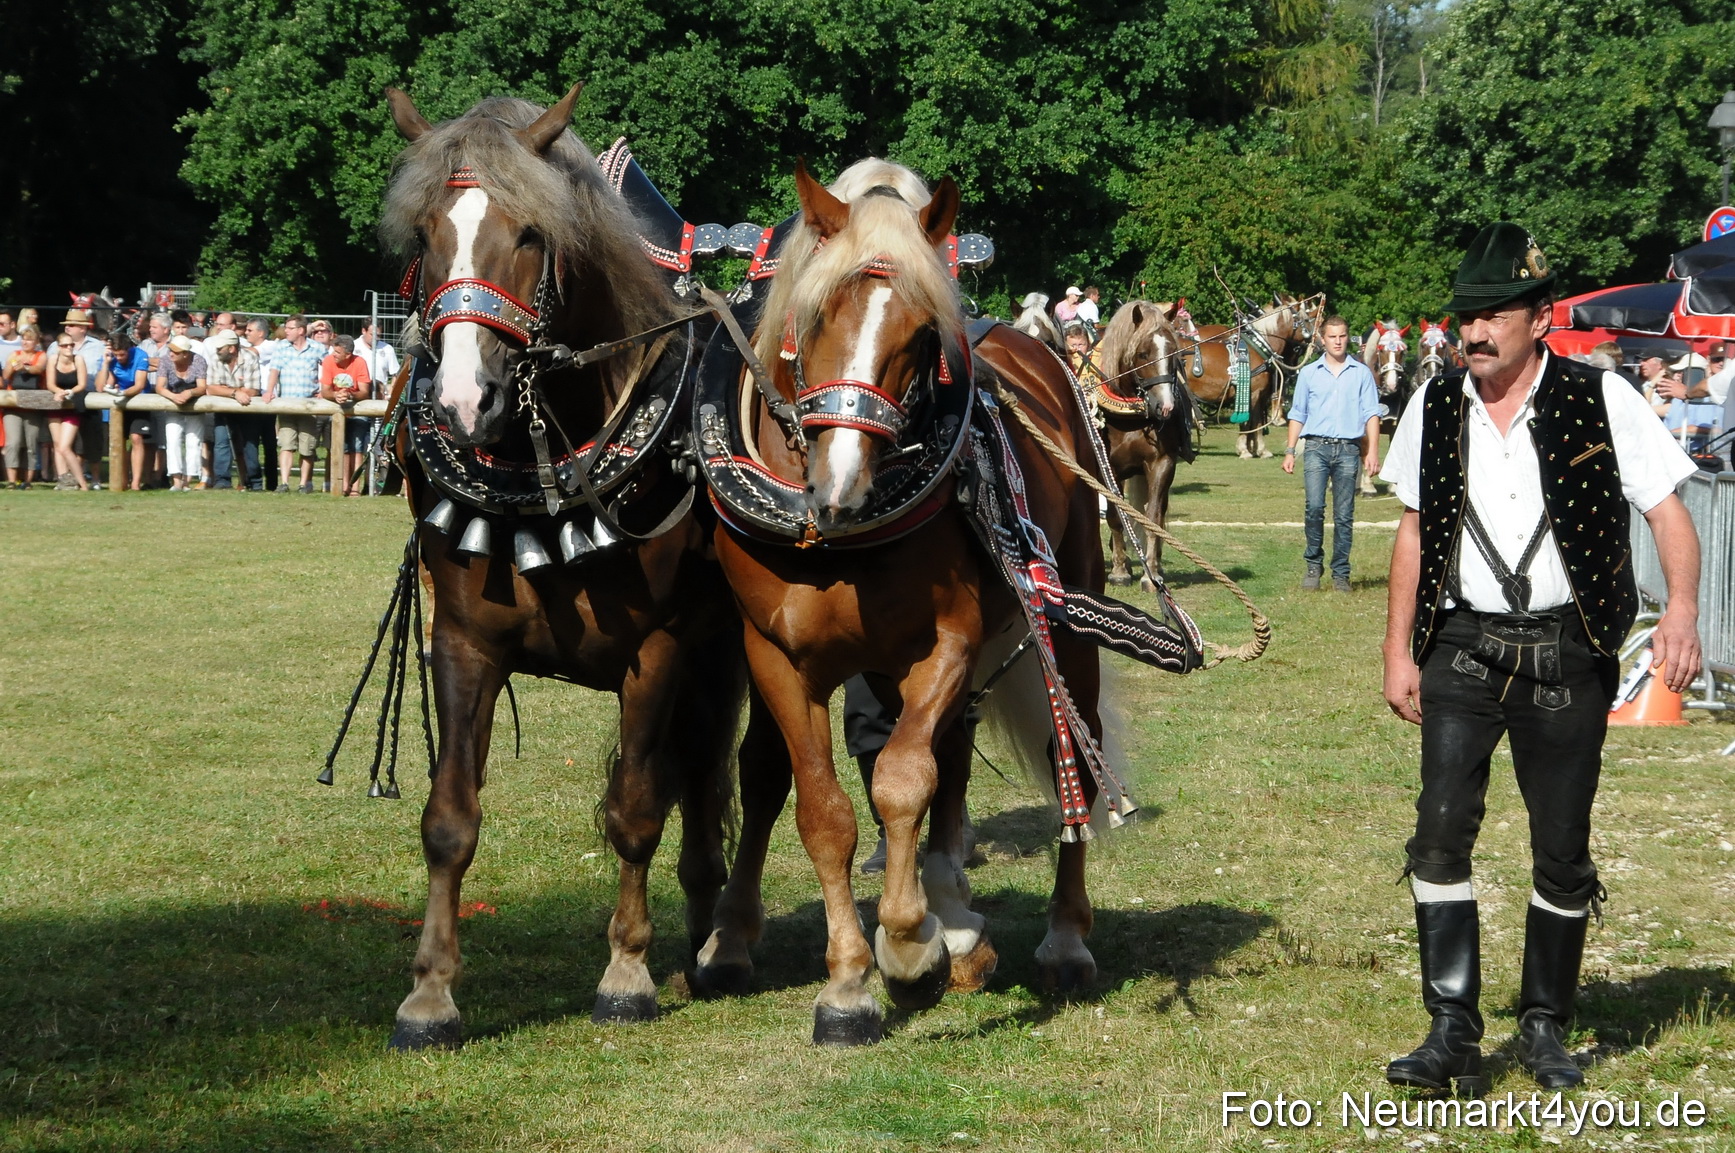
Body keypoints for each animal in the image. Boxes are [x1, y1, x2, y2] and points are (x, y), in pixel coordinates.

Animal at [376, 84, 764, 1048]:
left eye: (529, 234)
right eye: (427, 234)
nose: (463, 400)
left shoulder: (658, 651)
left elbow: (634, 811)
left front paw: (625, 973)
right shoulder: (463, 640)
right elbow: (449, 817)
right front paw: (430, 994)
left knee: (725, 775)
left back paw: (716, 942)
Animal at [693, 158, 1142, 1045]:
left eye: (925, 336)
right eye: (815, 316)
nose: (839, 483)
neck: (830, 537)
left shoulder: (947, 642)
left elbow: (902, 780)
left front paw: (905, 950)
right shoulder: (777, 658)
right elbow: (826, 810)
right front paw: (848, 984)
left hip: (1063, 618)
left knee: (1067, 749)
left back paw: (1060, 938)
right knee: (946, 757)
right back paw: (955, 917)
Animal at [1090, 300, 1191, 590]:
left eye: (1173, 352)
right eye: (1144, 354)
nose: (1166, 407)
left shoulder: (1162, 463)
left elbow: (1153, 516)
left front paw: (1151, 573)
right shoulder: (1107, 468)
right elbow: (1115, 515)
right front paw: (1119, 570)